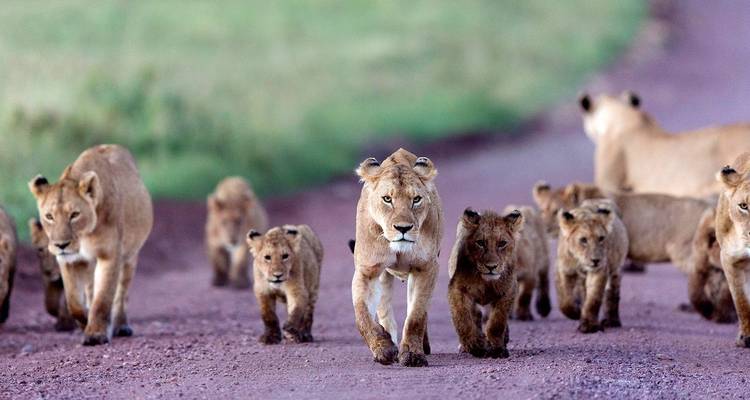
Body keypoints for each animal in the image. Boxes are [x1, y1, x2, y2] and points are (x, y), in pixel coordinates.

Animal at [28, 144, 153, 345]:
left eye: (74, 215)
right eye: (49, 216)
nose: (61, 245)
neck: (84, 237)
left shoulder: (109, 256)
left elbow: (102, 299)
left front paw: (95, 333)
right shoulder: (68, 261)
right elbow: (74, 303)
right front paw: (85, 322)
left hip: (130, 257)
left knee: (121, 293)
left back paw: (121, 326)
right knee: (89, 291)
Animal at [352, 148, 443, 367]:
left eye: (416, 199)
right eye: (387, 199)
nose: (403, 228)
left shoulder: (426, 267)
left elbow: (416, 315)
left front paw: (412, 354)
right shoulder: (367, 270)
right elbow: (362, 314)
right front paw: (383, 348)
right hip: (384, 276)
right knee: (384, 309)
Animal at [448, 208, 523, 358]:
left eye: (502, 243)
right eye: (480, 243)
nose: (491, 267)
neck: (485, 282)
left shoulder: (509, 290)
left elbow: (497, 322)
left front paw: (498, 349)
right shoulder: (456, 289)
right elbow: (463, 319)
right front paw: (474, 346)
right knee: (475, 316)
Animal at [556, 200, 628, 333]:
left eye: (601, 238)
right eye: (583, 240)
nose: (596, 260)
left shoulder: (599, 270)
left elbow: (593, 299)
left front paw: (589, 326)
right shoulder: (566, 269)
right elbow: (565, 300)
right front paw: (575, 313)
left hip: (616, 269)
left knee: (613, 294)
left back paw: (612, 322)